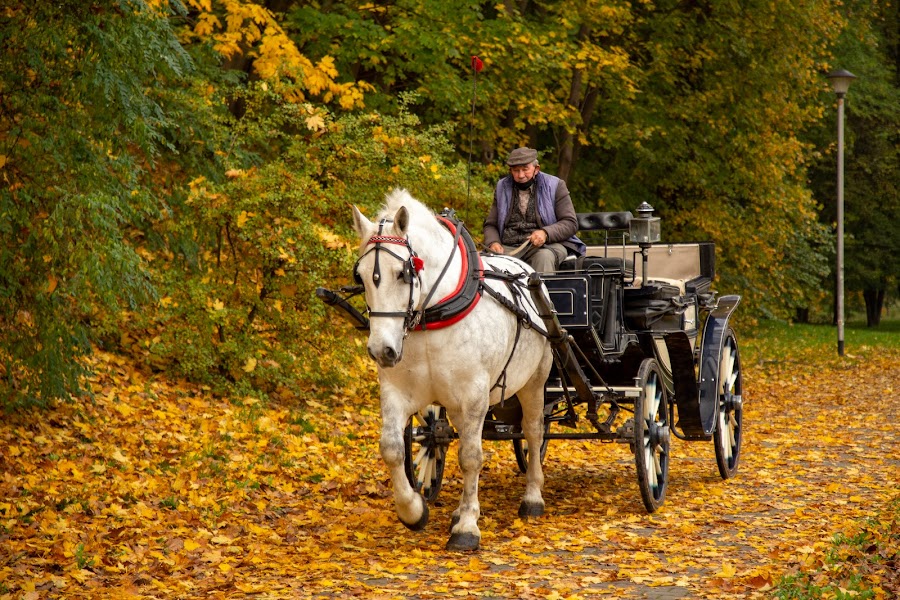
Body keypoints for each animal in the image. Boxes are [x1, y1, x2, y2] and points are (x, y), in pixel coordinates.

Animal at [354, 190, 556, 552]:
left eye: (403, 273)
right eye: (360, 276)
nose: (381, 350)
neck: (435, 313)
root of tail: (526, 268)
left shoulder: (474, 395)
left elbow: (471, 457)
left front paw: (467, 528)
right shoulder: (398, 391)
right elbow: (392, 448)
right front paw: (413, 510)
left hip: (534, 381)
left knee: (533, 432)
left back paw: (532, 497)